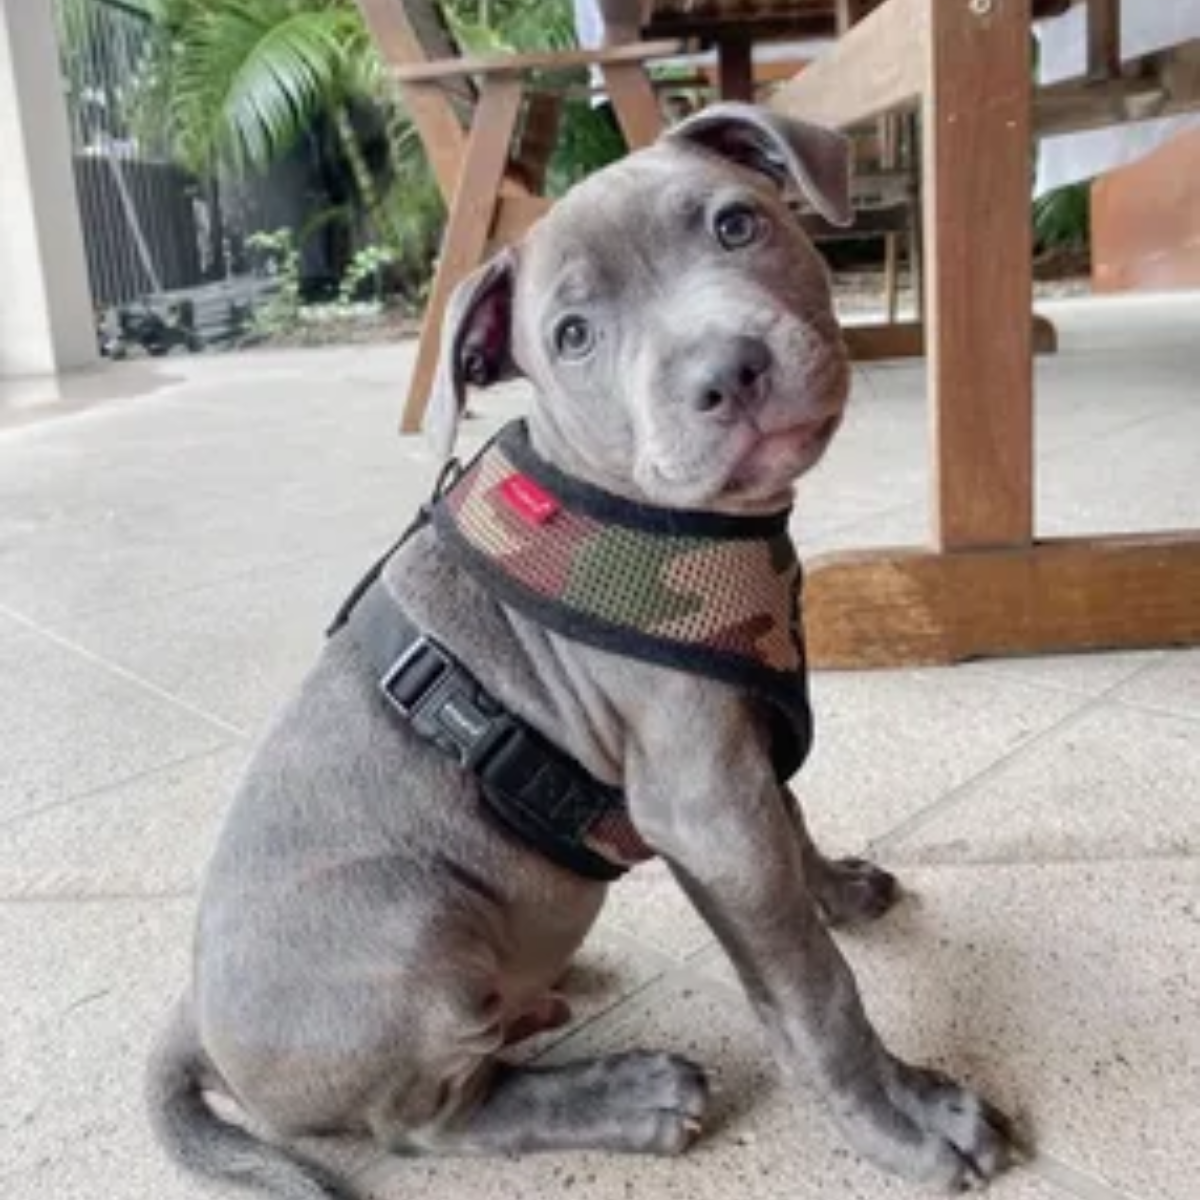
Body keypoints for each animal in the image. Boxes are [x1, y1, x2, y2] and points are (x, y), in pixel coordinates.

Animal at [147, 103, 1012, 1200]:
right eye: (572, 336)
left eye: (736, 225)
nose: (725, 373)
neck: (670, 517)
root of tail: (197, 1024)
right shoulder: (706, 809)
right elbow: (814, 989)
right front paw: (902, 1118)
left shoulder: (743, 766)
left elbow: (797, 836)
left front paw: (838, 892)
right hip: (411, 923)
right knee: (432, 1122)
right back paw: (624, 1096)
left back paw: (549, 995)